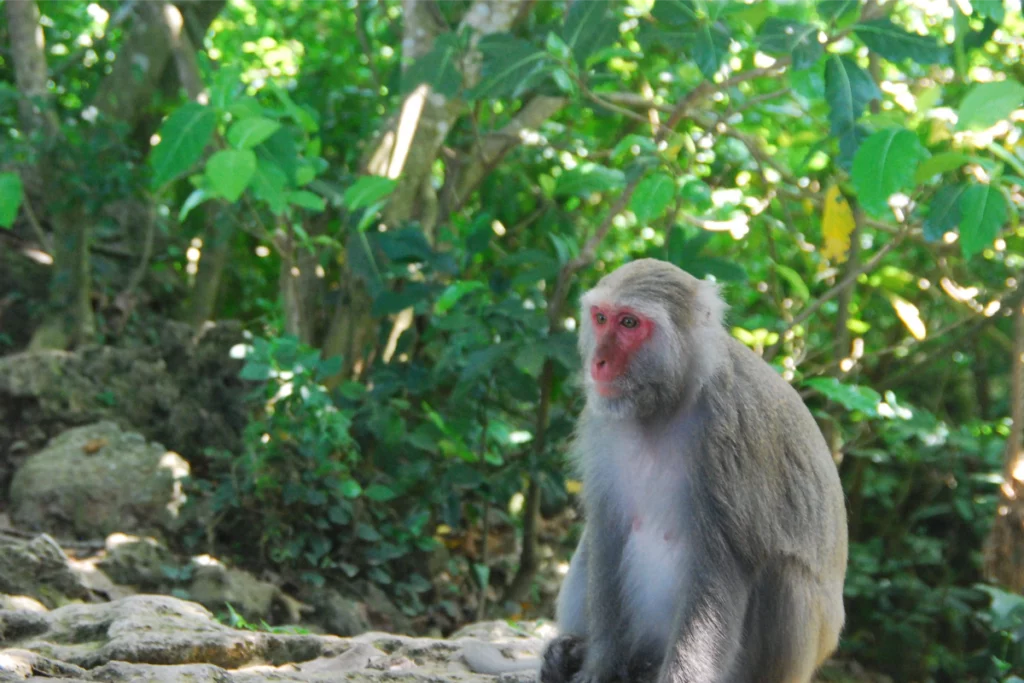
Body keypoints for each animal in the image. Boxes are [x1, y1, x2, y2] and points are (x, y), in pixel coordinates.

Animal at [464, 259, 847, 679]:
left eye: (630, 323)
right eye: (601, 318)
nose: (598, 363)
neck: (666, 402)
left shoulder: (728, 433)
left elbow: (722, 563)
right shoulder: (601, 420)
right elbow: (608, 529)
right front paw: (598, 667)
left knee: (784, 574)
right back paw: (572, 653)